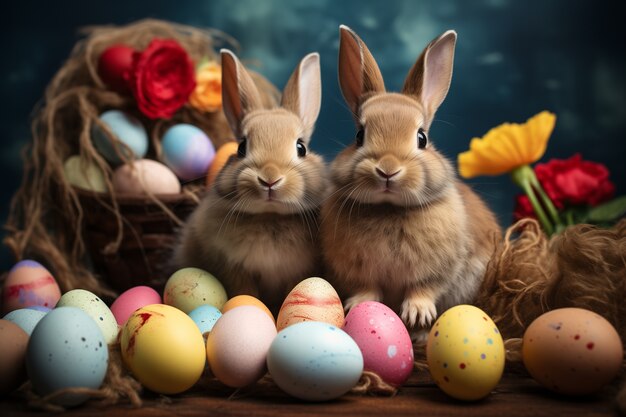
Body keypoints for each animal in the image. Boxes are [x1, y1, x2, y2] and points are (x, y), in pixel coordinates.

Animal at [172, 49, 326, 312]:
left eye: (301, 148)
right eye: (241, 147)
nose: (270, 179)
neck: (269, 215)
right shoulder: (234, 269)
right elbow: (246, 295)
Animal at [320, 25, 500, 332]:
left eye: (422, 138)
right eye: (359, 136)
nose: (387, 169)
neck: (389, 209)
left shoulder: (439, 270)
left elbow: (424, 288)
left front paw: (417, 314)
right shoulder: (357, 271)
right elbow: (367, 288)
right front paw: (357, 305)